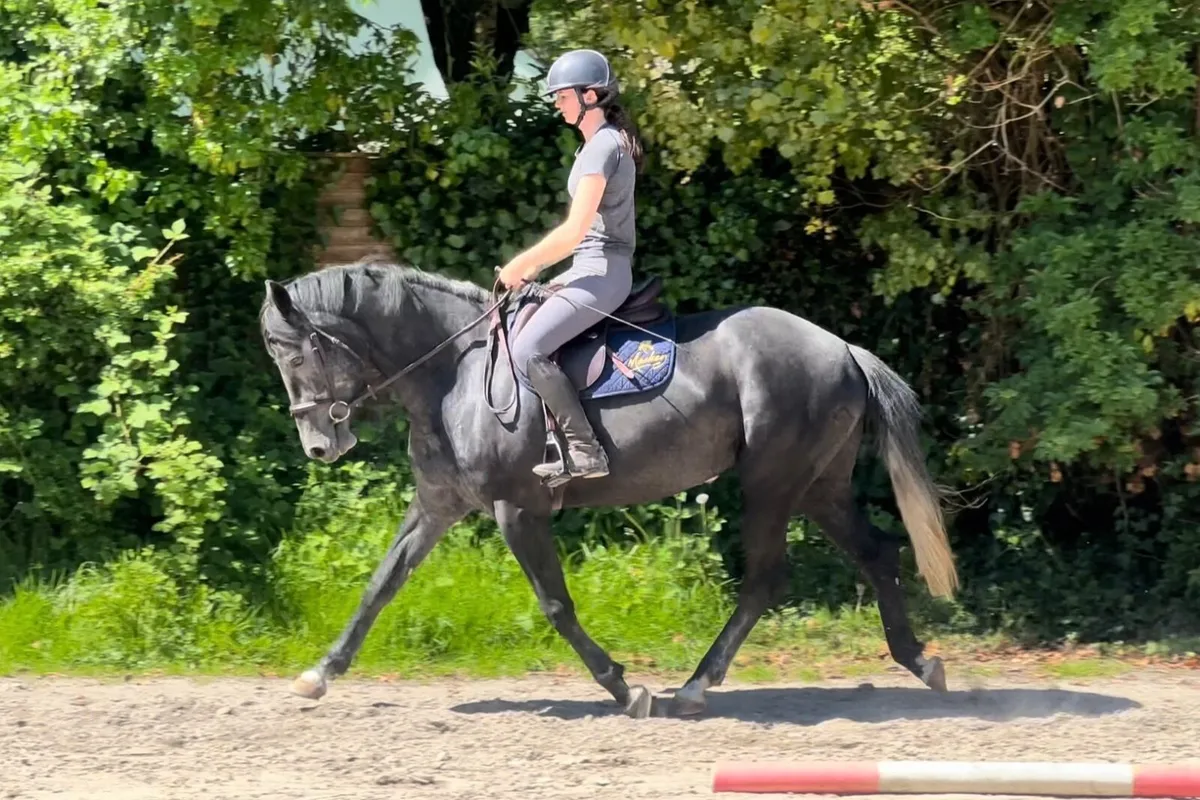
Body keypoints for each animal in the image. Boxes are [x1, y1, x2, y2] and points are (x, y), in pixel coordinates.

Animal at [258, 257, 958, 718]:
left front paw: (625, 688)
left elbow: (556, 605)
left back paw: (695, 686)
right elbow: (381, 584)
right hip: (819, 486)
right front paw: (318, 674)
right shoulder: (439, 503)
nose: (319, 447)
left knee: (767, 578)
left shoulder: (517, 509)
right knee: (875, 552)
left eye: (293, 354)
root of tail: (841, 347)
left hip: (772, 482)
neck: (452, 372)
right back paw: (920, 661)